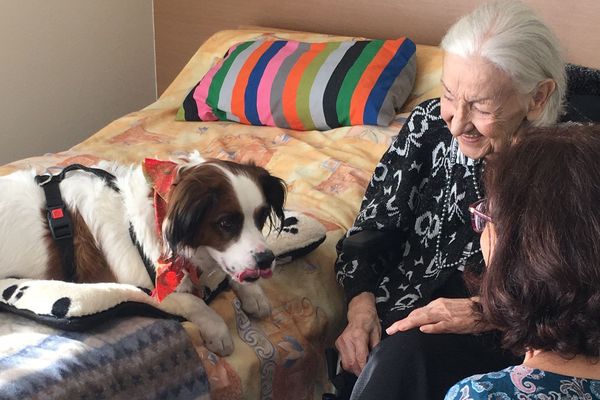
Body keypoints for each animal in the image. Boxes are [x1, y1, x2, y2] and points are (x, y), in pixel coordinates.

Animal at [0, 153, 286, 356]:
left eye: (261, 217)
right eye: (226, 223)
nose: (266, 260)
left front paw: (253, 293)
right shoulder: (142, 288)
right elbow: (193, 302)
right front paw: (216, 327)